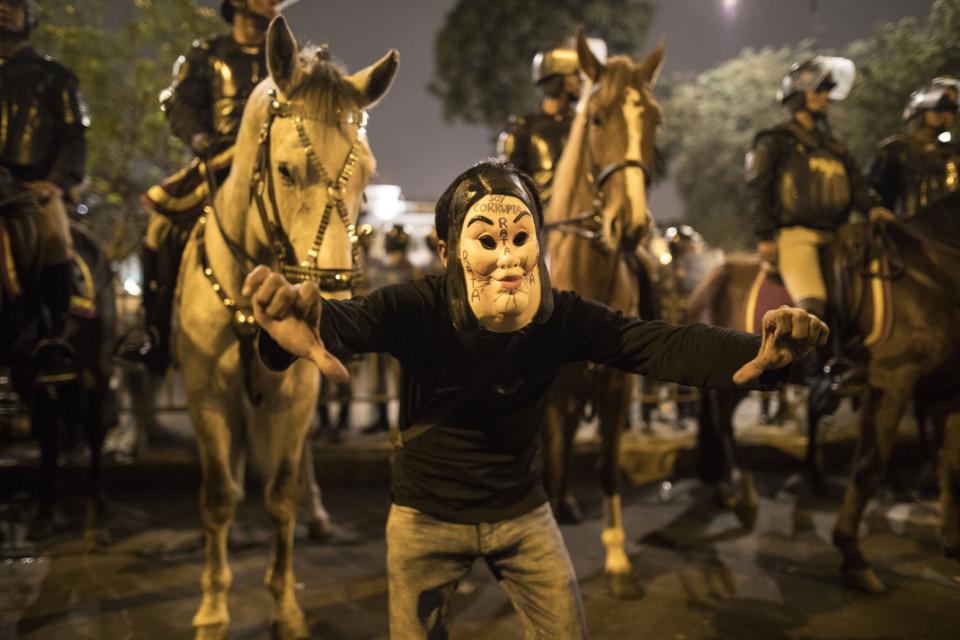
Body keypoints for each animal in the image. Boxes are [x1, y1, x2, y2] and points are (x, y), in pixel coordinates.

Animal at [176, 17, 398, 636]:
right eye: (284, 169)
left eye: (366, 174)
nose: (333, 297)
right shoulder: (205, 395)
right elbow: (218, 497)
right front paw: (212, 606)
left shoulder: (298, 392)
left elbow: (281, 492)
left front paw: (286, 606)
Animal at [688, 198, 960, 592]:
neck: (933, 277)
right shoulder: (892, 383)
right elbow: (869, 468)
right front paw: (852, 554)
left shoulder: (946, 391)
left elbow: (949, 464)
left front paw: (950, 540)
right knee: (723, 423)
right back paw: (746, 495)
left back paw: (727, 488)